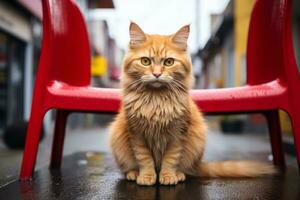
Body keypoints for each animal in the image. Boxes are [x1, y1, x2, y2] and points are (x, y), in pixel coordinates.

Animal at [108, 22, 276, 186]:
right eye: (145, 61)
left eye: (169, 62)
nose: (156, 74)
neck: (156, 99)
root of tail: (198, 165)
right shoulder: (136, 134)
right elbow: (144, 159)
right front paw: (147, 177)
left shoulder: (177, 134)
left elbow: (171, 159)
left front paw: (168, 176)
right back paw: (133, 173)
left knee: (186, 170)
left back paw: (179, 174)